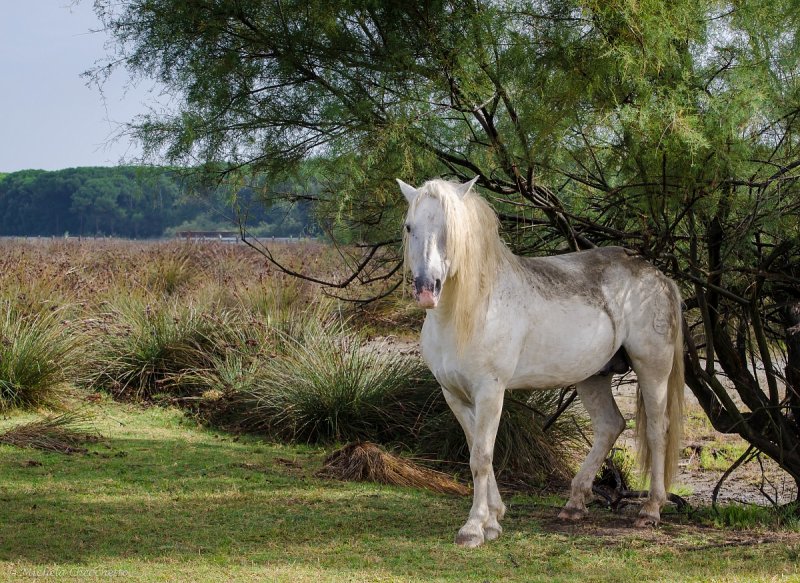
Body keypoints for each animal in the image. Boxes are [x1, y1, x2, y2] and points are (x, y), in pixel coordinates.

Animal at [396, 177, 684, 548]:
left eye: (452, 229)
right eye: (410, 226)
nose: (426, 289)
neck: (469, 312)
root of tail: (658, 276)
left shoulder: (490, 392)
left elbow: (481, 457)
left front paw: (474, 527)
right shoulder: (454, 395)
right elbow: (477, 449)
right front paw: (494, 518)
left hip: (653, 368)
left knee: (656, 430)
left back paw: (650, 510)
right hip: (592, 376)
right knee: (610, 425)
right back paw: (574, 504)